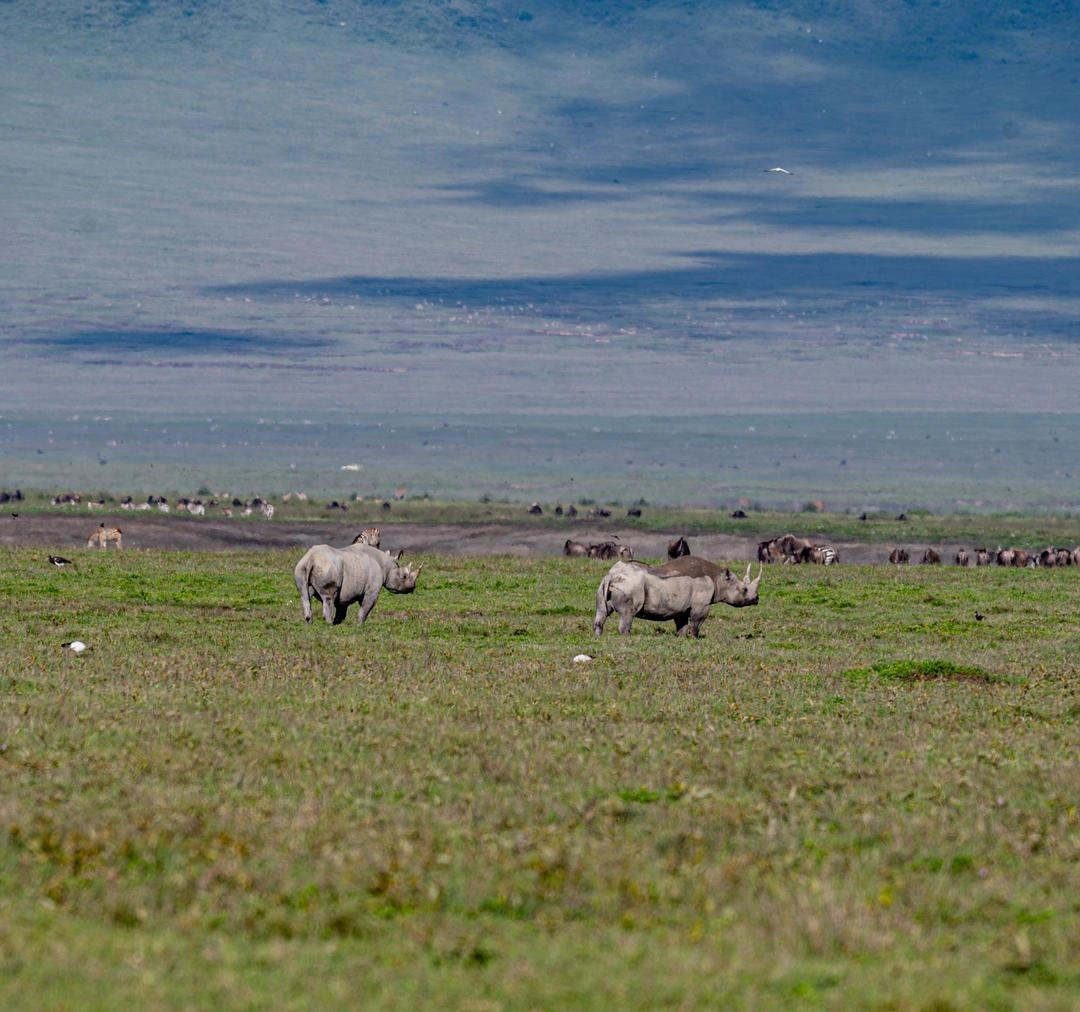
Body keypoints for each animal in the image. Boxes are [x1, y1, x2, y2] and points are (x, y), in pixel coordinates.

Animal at [593, 555, 761, 638]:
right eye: (745, 589)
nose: (756, 599)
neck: (719, 579)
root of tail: (611, 576)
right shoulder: (701, 604)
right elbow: (696, 622)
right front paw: (694, 638)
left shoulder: (681, 607)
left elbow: (682, 625)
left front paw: (681, 638)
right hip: (630, 586)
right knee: (628, 614)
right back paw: (627, 638)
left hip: (604, 584)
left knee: (602, 612)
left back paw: (598, 636)